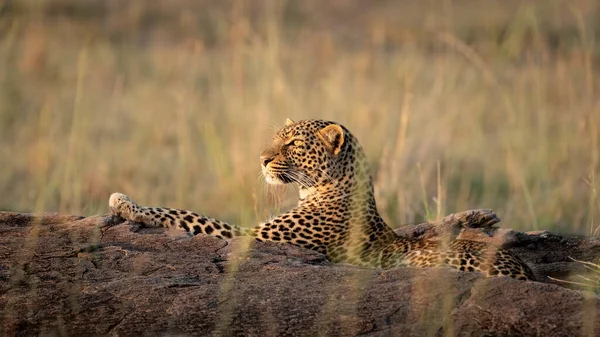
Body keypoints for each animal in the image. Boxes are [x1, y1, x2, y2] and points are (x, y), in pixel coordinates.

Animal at [110, 117, 536, 280]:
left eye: (293, 145)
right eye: (277, 140)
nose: (262, 158)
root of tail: (526, 272)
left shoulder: (255, 236)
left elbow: (187, 215)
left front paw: (125, 202)